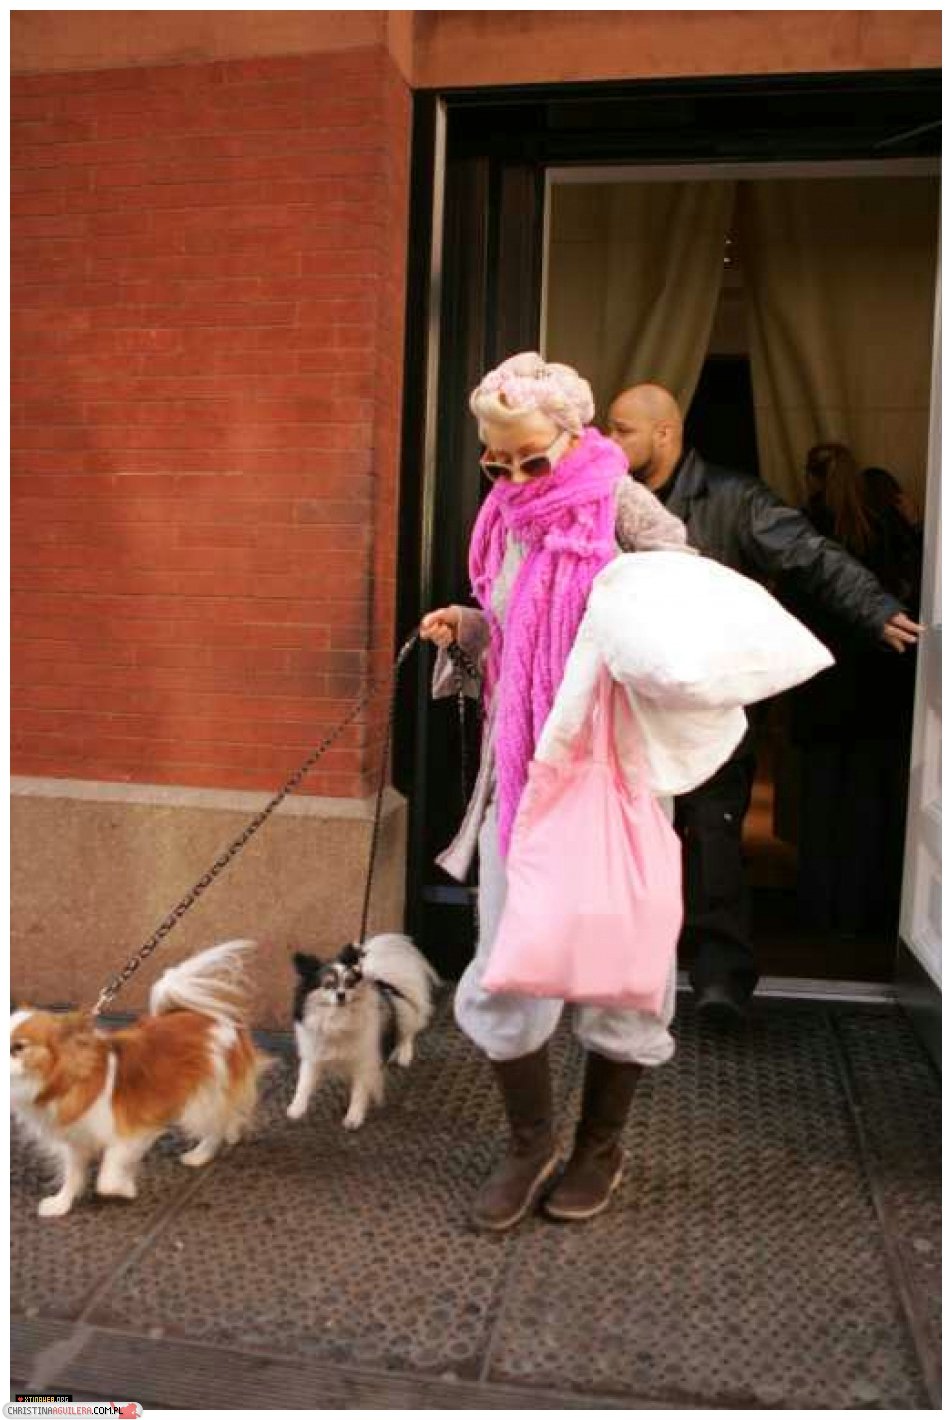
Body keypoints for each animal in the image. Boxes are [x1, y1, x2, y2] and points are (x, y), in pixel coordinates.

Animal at [10, 940, 271, 1218]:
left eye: (18, 1047)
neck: (66, 1081)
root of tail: (210, 1016)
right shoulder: (75, 1141)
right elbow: (73, 1174)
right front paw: (61, 1203)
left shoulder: (131, 1132)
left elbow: (107, 1177)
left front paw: (124, 1188)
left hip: (205, 1096)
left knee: (215, 1126)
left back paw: (200, 1154)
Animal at [288, 934, 439, 1130]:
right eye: (328, 985)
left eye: (349, 983)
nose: (341, 995)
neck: (338, 1019)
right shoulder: (313, 1058)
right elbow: (303, 1084)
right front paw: (296, 1109)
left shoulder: (364, 1062)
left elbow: (359, 1092)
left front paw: (354, 1118)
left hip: (404, 1012)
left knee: (408, 1033)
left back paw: (404, 1055)